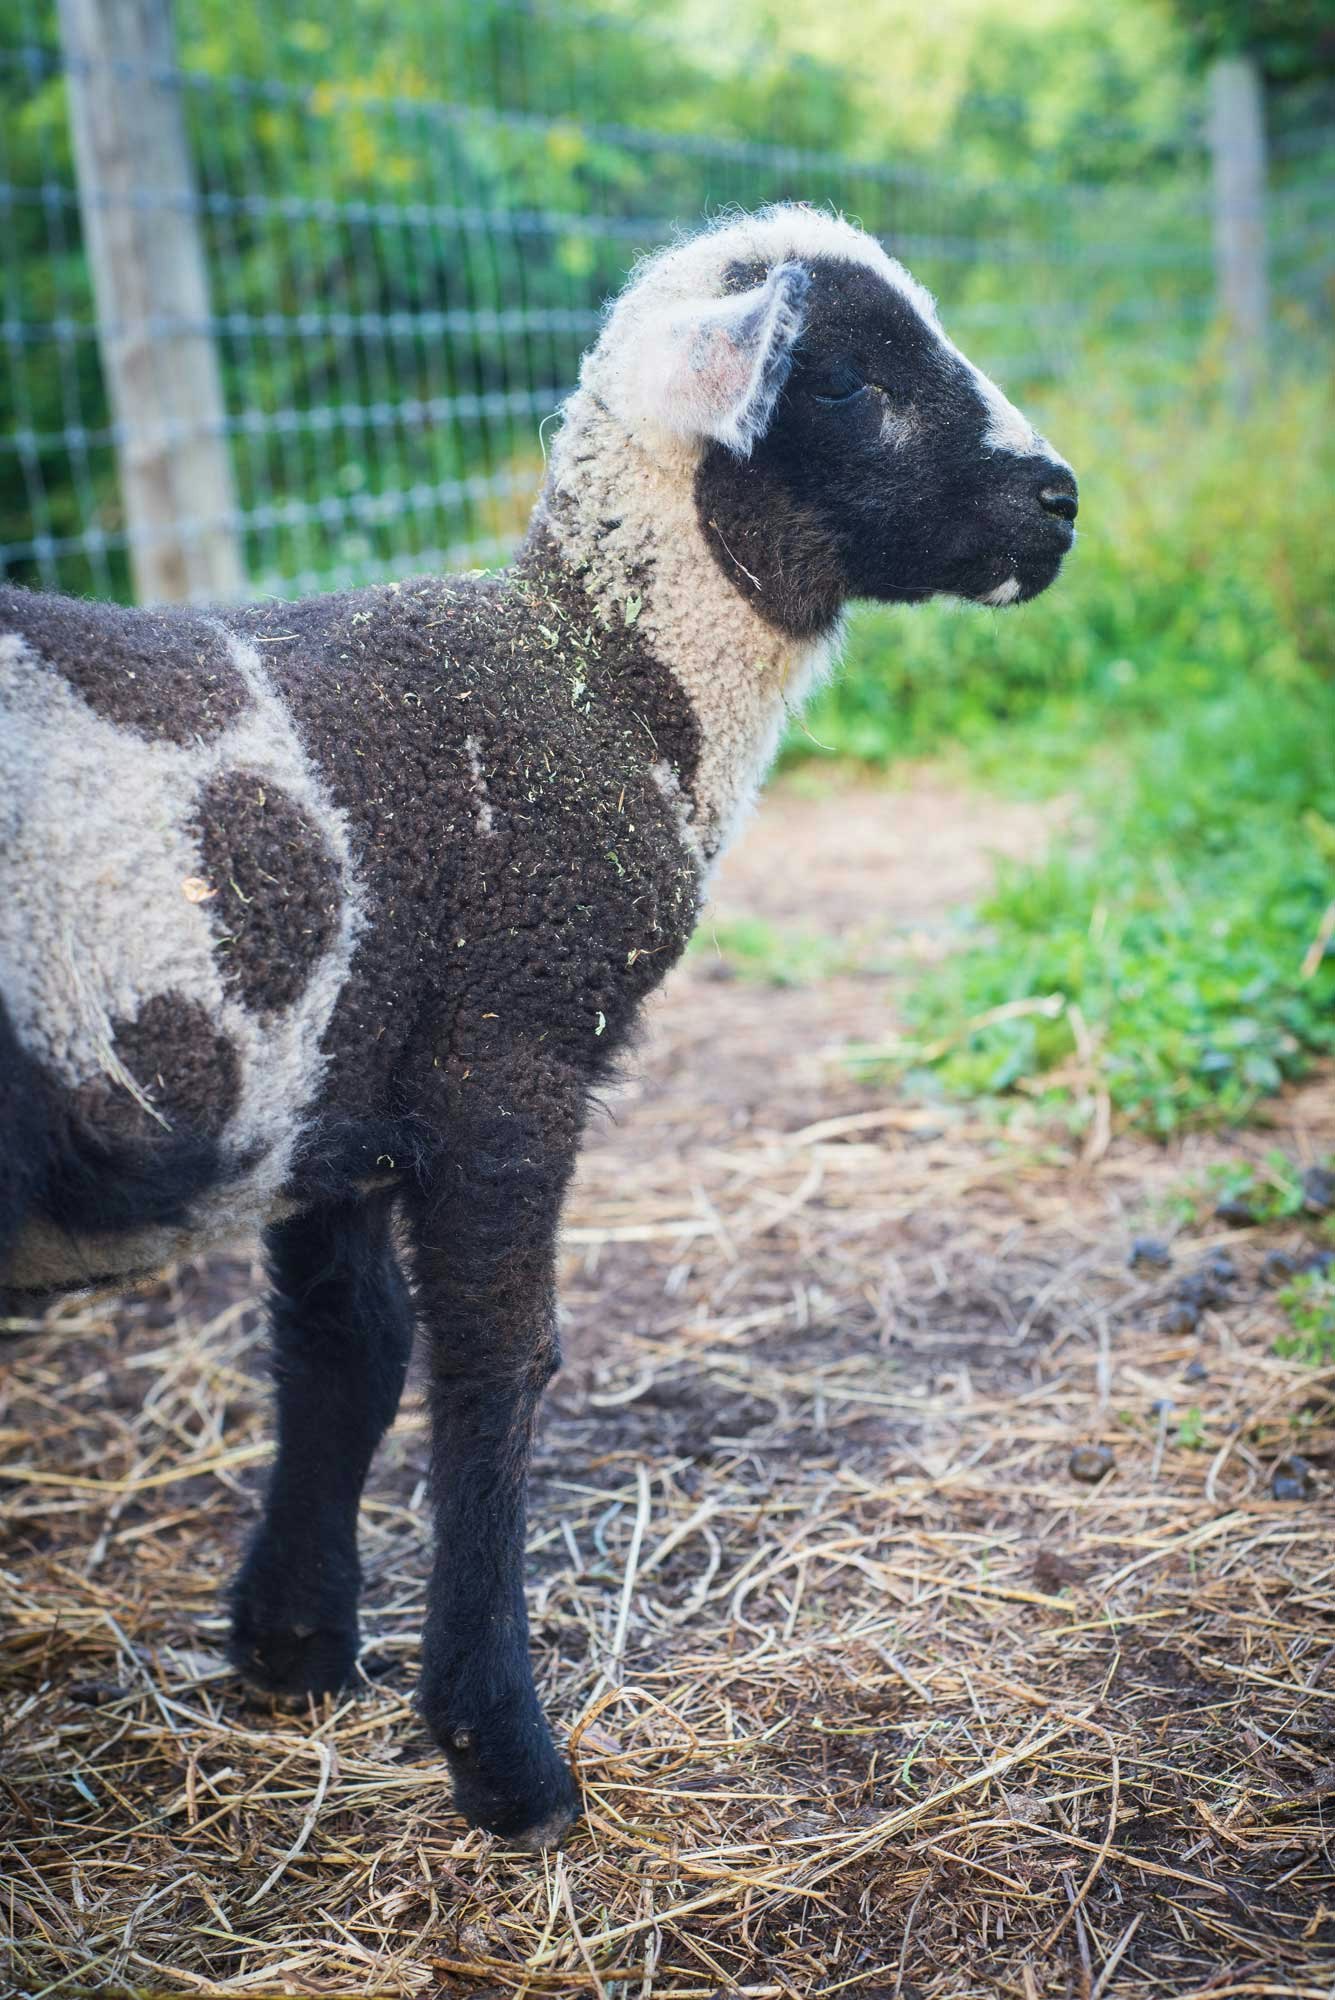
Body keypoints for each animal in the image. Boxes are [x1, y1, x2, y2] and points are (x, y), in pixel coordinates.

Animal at [0, 203, 1078, 1850]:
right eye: (846, 378)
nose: (1059, 502)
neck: (608, 680)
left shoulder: (343, 1078)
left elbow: (348, 1350)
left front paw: (295, 1650)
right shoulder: (504, 1046)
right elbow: (494, 1372)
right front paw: (504, 1756)